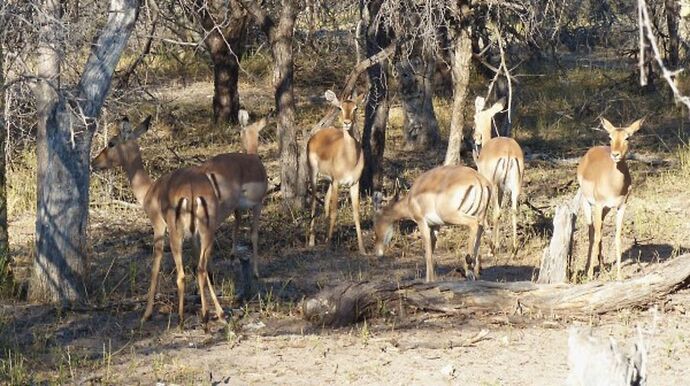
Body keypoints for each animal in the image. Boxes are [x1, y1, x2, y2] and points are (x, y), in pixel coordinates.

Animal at [90, 115, 223, 326]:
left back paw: (180, 319)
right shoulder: (194, 238)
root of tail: (193, 191)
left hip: (176, 235)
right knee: (203, 269)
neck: (149, 190)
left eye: (111, 143)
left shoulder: (158, 227)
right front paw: (211, 311)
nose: (93, 162)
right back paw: (212, 315)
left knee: (182, 275)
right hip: (206, 233)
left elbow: (155, 267)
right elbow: (201, 270)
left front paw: (147, 314)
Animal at [306, 89, 366, 255]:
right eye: (340, 108)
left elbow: (356, 214)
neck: (349, 159)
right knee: (314, 202)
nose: (347, 122)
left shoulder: (354, 183)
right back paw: (312, 241)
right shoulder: (338, 182)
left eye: (356, 108)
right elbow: (334, 213)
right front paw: (328, 246)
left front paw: (363, 249)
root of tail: (317, 135)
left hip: (330, 182)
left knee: (325, 201)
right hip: (315, 175)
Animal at [472, 97, 520, 253]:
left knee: (497, 212)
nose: (476, 137)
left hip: (493, 184)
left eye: (474, 117)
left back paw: (494, 247)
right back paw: (514, 247)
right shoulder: (501, 188)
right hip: (515, 185)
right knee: (513, 210)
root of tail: (509, 153)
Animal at [572, 116, 644, 278]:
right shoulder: (599, 205)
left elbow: (617, 238)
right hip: (588, 204)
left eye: (627, 137)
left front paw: (619, 276)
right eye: (610, 137)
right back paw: (589, 269)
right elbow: (597, 235)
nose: (615, 154)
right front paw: (590, 275)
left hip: (606, 210)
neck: (614, 184)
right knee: (592, 232)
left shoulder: (621, 207)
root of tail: (590, 152)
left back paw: (603, 267)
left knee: (601, 229)